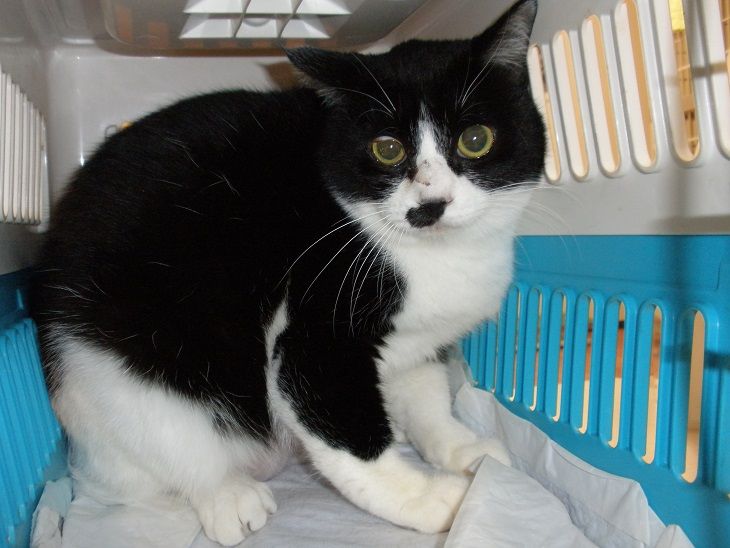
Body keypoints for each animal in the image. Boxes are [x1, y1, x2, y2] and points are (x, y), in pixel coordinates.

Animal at [32, 0, 545, 544]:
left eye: (476, 139)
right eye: (386, 148)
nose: (432, 204)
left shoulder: (419, 340)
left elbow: (427, 395)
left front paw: (464, 451)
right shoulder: (317, 319)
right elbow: (346, 433)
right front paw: (438, 501)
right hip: (118, 374)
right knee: (174, 440)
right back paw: (227, 496)